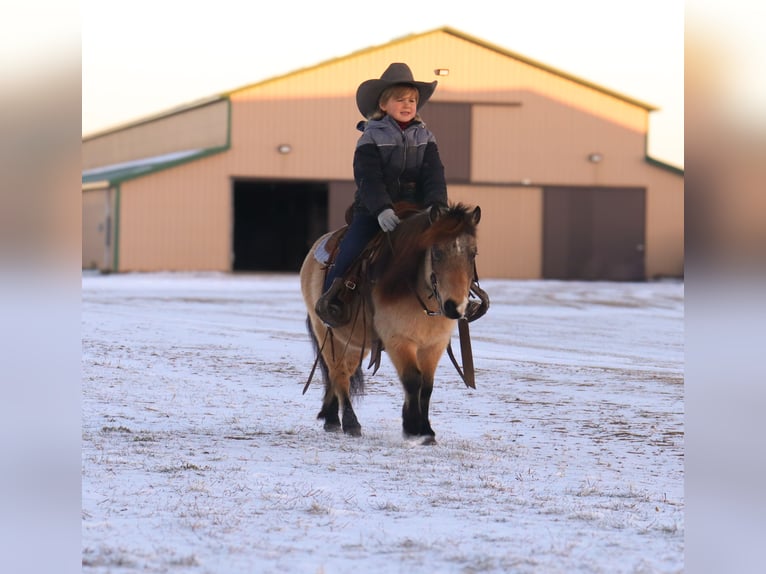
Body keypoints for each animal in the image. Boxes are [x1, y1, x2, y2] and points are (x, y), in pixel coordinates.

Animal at [304, 200, 484, 444]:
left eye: (473, 254)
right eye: (436, 252)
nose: (454, 306)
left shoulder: (434, 345)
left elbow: (427, 386)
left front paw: (426, 430)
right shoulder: (398, 341)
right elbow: (413, 380)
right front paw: (413, 428)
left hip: (356, 343)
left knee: (342, 373)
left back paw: (331, 418)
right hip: (327, 331)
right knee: (338, 373)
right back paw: (350, 423)